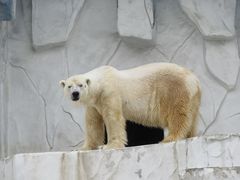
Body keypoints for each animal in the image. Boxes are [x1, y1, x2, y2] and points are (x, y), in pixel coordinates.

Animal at [59, 62, 201, 150]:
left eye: (81, 85)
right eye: (69, 86)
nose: (75, 94)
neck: (101, 80)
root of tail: (194, 79)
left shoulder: (110, 93)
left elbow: (113, 118)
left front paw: (108, 146)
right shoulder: (93, 103)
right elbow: (93, 123)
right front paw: (83, 148)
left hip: (175, 90)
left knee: (178, 115)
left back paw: (170, 138)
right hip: (192, 98)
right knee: (191, 117)